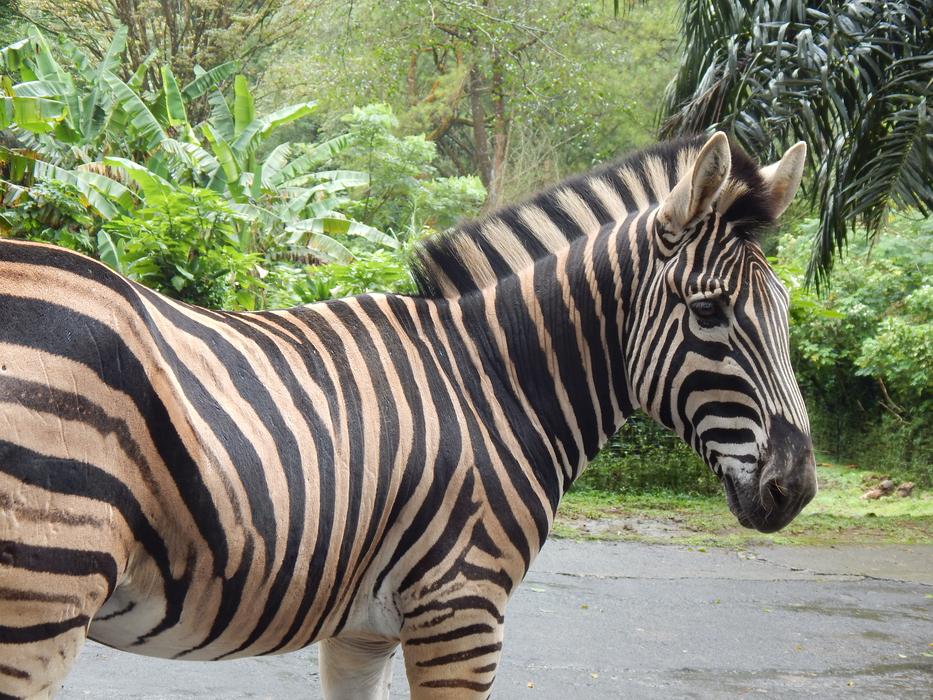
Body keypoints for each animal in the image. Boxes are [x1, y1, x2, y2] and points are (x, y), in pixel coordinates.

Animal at [0, 132, 816, 699]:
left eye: (784, 310)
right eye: (708, 313)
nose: (797, 488)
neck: (495, 385)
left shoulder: (363, 630)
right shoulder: (460, 612)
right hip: (42, 599)